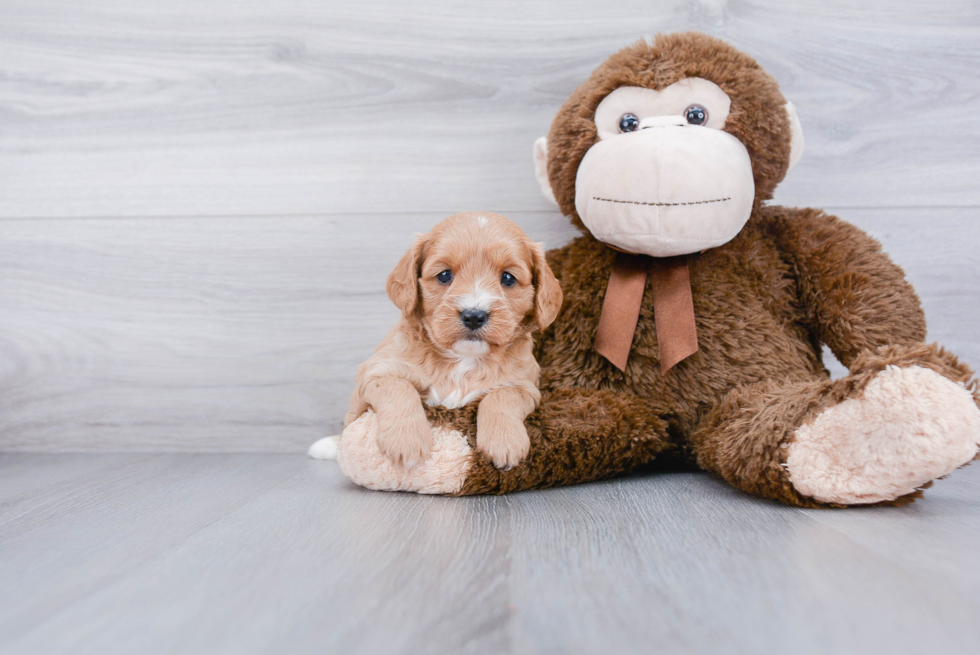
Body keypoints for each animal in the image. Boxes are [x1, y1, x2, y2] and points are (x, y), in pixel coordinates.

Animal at [310, 214, 564, 472]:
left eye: (508, 278)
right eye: (444, 275)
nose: (474, 315)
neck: (463, 359)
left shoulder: (526, 385)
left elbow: (502, 396)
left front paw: (504, 442)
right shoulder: (376, 370)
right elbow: (398, 386)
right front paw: (405, 441)